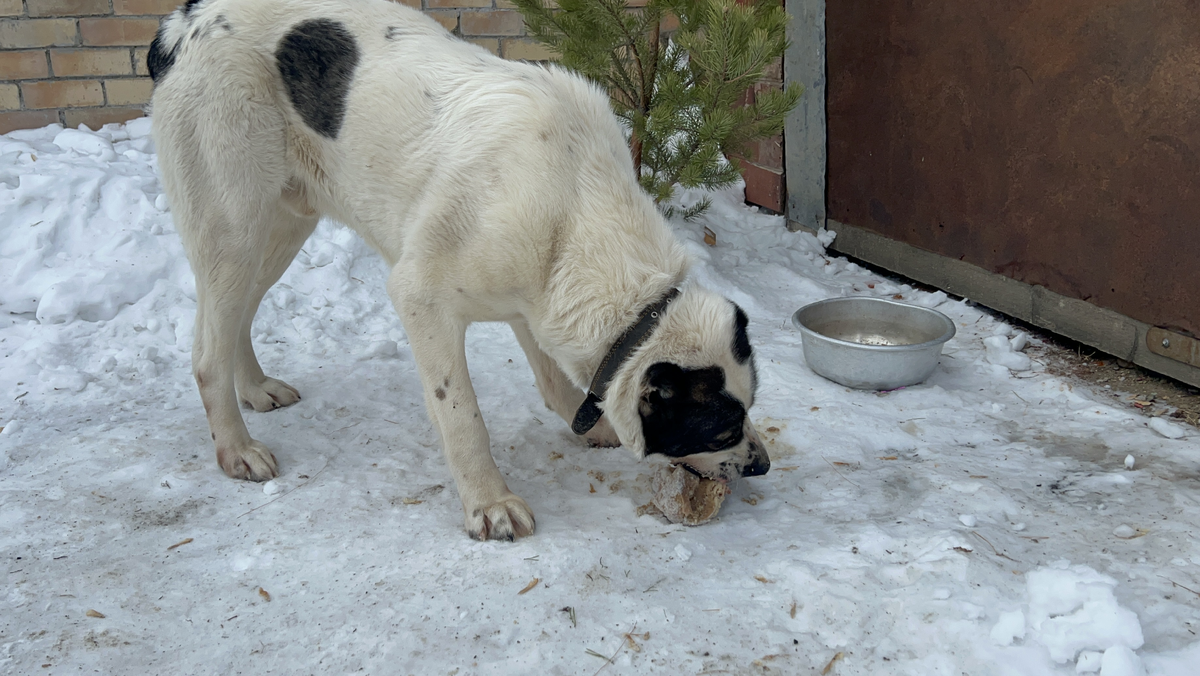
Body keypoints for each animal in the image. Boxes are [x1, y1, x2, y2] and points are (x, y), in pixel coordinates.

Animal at [150, 0, 768, 542]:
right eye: (722, 428)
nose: (761, 464)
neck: (572, 207)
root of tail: (182, 23)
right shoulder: (420, 296)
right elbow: (462, 415)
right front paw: (490, 504)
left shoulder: (535, 297)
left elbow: (553, 378)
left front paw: (590, 425)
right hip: (234, 229)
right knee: (206, 352)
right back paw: (237, 450)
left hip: (278, 230)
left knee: (235, 319)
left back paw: (256, 389)